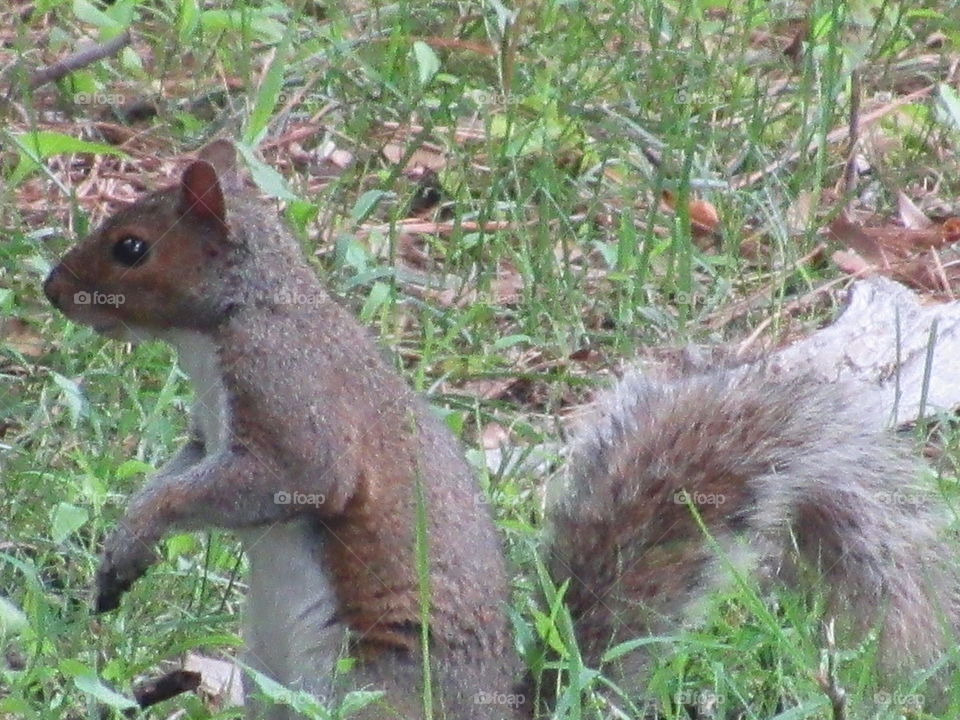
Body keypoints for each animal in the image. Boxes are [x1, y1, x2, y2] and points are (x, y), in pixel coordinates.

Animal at [43, 140, 960, 719]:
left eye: (130, 247)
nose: (50, 290)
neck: (229, 324)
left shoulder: (294, 408)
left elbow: (276, 482)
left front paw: (140, 531)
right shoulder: (206, 436)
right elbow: (181, 473)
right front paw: (124, 542)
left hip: (371, 692)